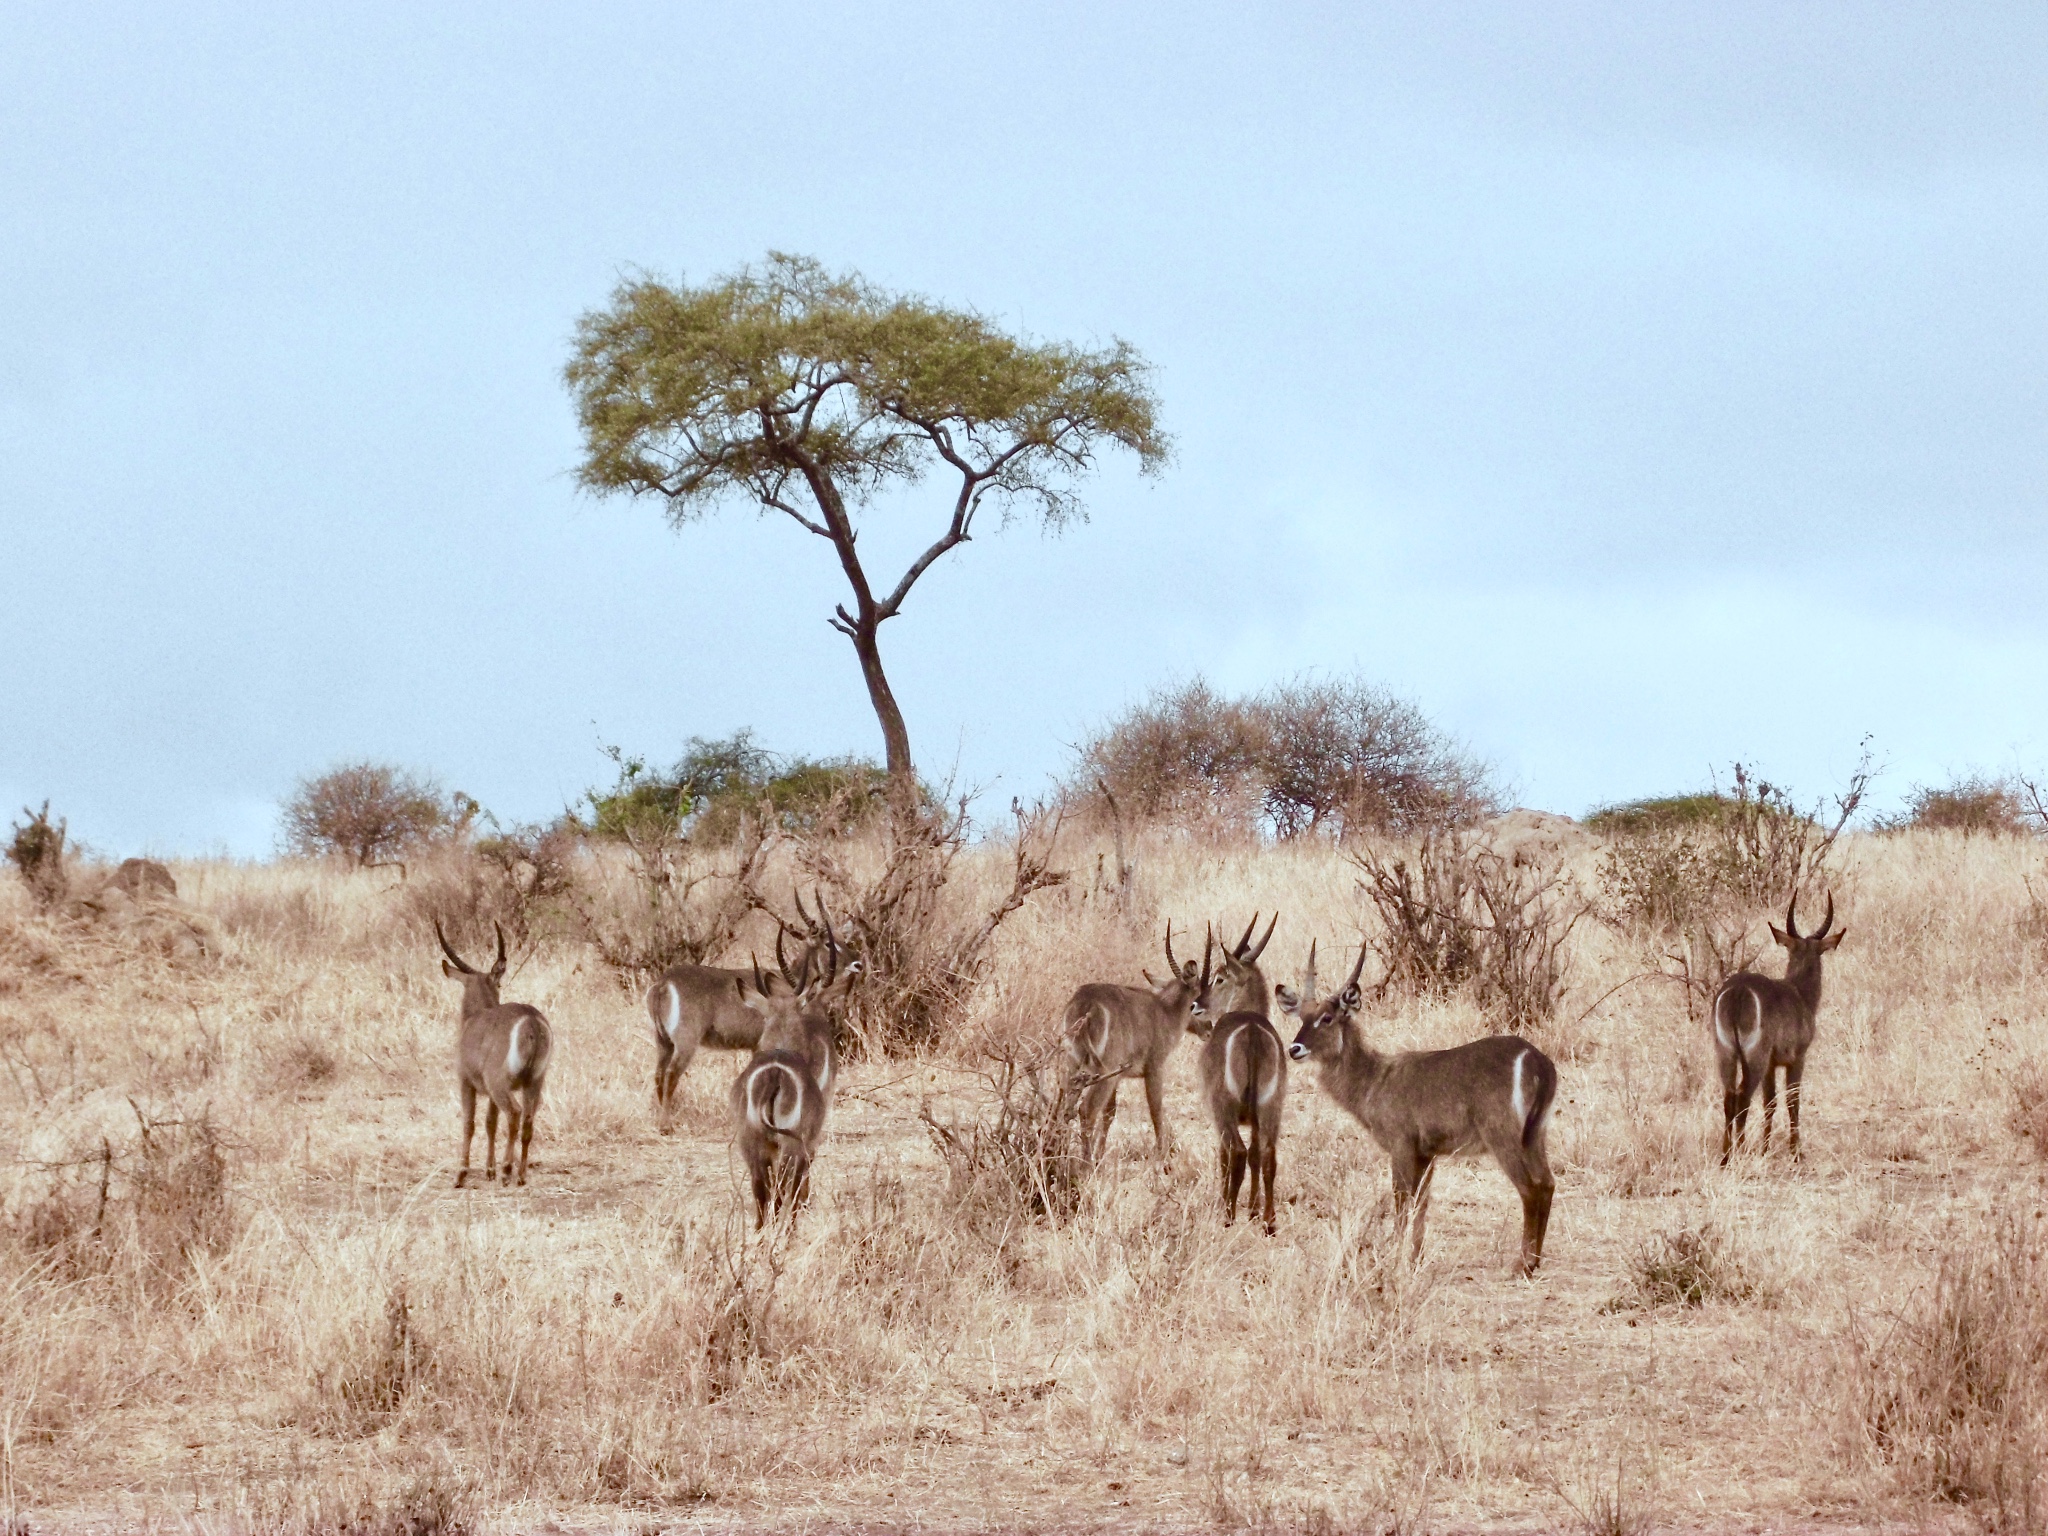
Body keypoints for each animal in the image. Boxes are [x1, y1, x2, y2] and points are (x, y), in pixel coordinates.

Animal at [436, 925, 552, 1187]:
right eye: (498, 985)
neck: (474, 1017)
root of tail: (530, 1019)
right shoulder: (489, 1093)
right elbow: (490, 1123)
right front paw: (489, 1169)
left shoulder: (466, 1082)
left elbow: (469, 1124)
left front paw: (462, 1173)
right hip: (535, 1081)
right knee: (528, 1119)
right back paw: (520, 1175)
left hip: (499, 1081)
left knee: (515, 1113)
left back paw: (507, 1170)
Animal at [729, 925, 847, 1228]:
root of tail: (774, 1074)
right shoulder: (808, 1142)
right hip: (790, 1145)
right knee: (783, 1189)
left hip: (753, 1144)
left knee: (761, 1192)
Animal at [1064, 925, 1204, 1155]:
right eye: (1198, 999)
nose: (1210, 1028)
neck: (1165, 1010)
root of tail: (1087, 1003)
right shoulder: (1155, 1068)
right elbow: (1156, 1110)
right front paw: (1161, 1155)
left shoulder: (1119, 1077)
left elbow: (1110, 1113)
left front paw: (1101, 1154)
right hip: (1103, 1070)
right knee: (1086, 1110)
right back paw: (1084, 1162)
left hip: (1073, 1065)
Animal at [1286, 946, 1556, 1277]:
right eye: (1302, 1016)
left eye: (1327, 1017)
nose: (1294, 1049)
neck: (1375, 1079)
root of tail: (1537, 1060)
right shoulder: (1427, 1154)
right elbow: (1421, 1206)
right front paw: (1416, 1259)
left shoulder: (1401, 1147)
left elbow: (1402, 1203)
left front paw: (1395, 1259)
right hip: (1536, 1135)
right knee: (1547, 1183)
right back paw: (1535, 1260)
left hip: (1503, 1137)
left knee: (1530, 1189)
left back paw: (1524, 1264)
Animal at [1712, 888, 1843, 1163]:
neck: (1800, 993)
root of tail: (1738, 991)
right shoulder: (1796, 1058)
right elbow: (1792, 1100)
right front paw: (1796, 1152)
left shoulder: (1772, 1064)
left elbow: (1770, 1102)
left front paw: (1765, 1147)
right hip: (1755, 1056)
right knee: (1742, 1097)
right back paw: (1741, 1152)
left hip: (1725, 1052)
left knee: (1729, 1097)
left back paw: (1726, 1157)